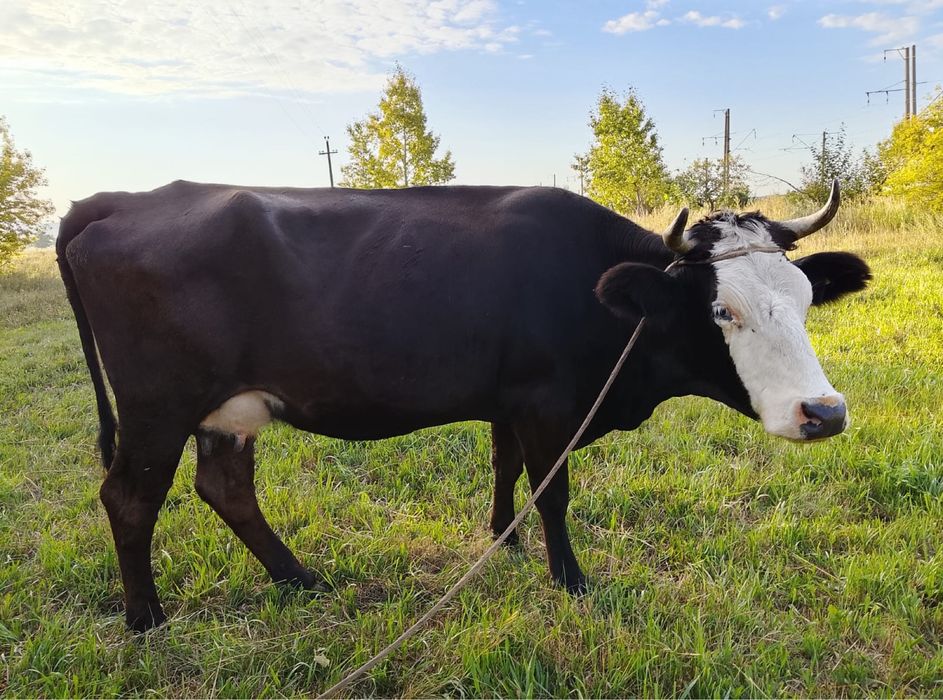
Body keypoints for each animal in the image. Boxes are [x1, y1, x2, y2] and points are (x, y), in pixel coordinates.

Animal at [56, 179, 870, 631]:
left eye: (805, 299)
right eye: (722, 311)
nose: (823, 413)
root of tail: (124, 199)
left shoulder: (509, 401)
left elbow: (506, 469)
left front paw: (501, 539)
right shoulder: (547, 402)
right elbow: (553, 491)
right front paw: (569, 579)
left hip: (226, 410)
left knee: (224, 488)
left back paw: (299, 579)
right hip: (157, 408)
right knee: (129, 498)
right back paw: (146, 619)